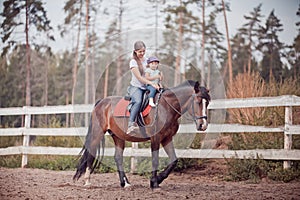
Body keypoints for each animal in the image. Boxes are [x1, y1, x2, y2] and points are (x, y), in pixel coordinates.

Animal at [72, 79, 210, 188]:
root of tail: (101, 102)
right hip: (97, 133)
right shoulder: (156, 138)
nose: (203, 125)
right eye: (198, 101)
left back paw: (125, 183)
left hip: (118, 137)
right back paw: (87, 181)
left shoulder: (167, 138)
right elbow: (155, 160)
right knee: (91, 153)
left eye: (207, 102)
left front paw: (159, 179)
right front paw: (154, 182)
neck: (166, 107)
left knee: (118, 157)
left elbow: (173, 161)